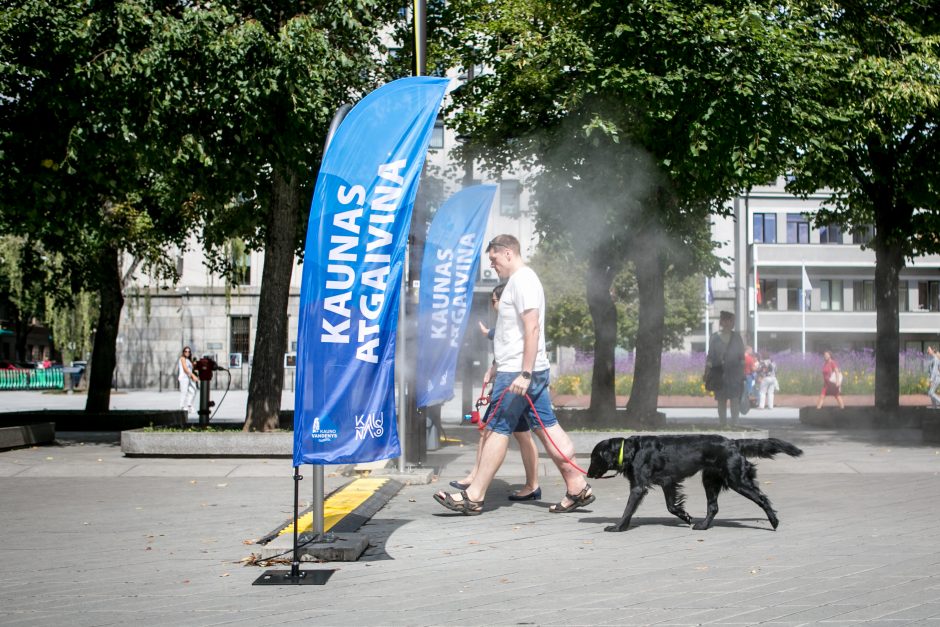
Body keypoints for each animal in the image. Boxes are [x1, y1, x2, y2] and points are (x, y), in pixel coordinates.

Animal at [588, 436, 800, 536]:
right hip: (710, 479)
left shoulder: (639, 487)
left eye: (593, 458)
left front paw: (617, 527)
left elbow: (628, 510)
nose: (588, 474)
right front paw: (686, 516)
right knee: (713, 507)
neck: (631, 450)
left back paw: (774, 521)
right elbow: (671, 506)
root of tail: (733, 442)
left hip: (736, 480)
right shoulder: (668, 481)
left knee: (762, 498)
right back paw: (703, 525)